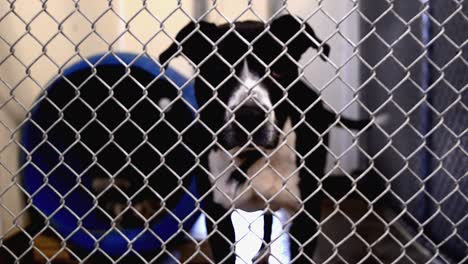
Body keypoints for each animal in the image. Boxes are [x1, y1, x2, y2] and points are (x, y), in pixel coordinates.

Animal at [161, 15, 384, 262]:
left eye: (278, 70)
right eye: (219, 69)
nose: (249, 115)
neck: (254, 158)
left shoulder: (306, 219)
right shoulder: (218, 219)